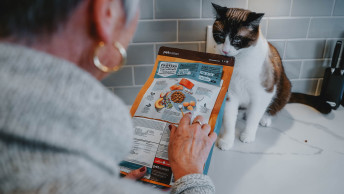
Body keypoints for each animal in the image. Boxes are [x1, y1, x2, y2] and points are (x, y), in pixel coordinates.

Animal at [211, 4, 292, 150]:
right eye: (220, 35)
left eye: (237, 39)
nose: (225, 50)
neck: (239, 62)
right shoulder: (230, 94)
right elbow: (229, 120)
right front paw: (227, 141)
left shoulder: (264, 92)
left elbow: (254, 117)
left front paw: (247, 136)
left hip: (285, 88)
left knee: (271, 108)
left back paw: (265, 119)